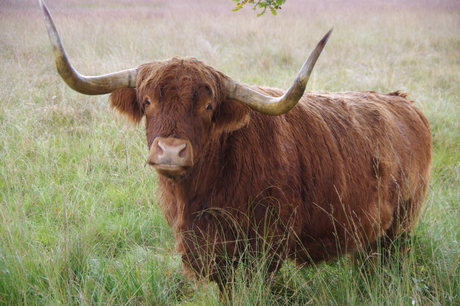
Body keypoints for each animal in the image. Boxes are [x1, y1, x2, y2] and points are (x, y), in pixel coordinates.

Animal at [39, 0, 432, 294]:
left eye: (208, 106)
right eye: (147, 101)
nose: (170, 151)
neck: (201, 194)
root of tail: (403, 102)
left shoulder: (263, 249)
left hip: (401, 228)